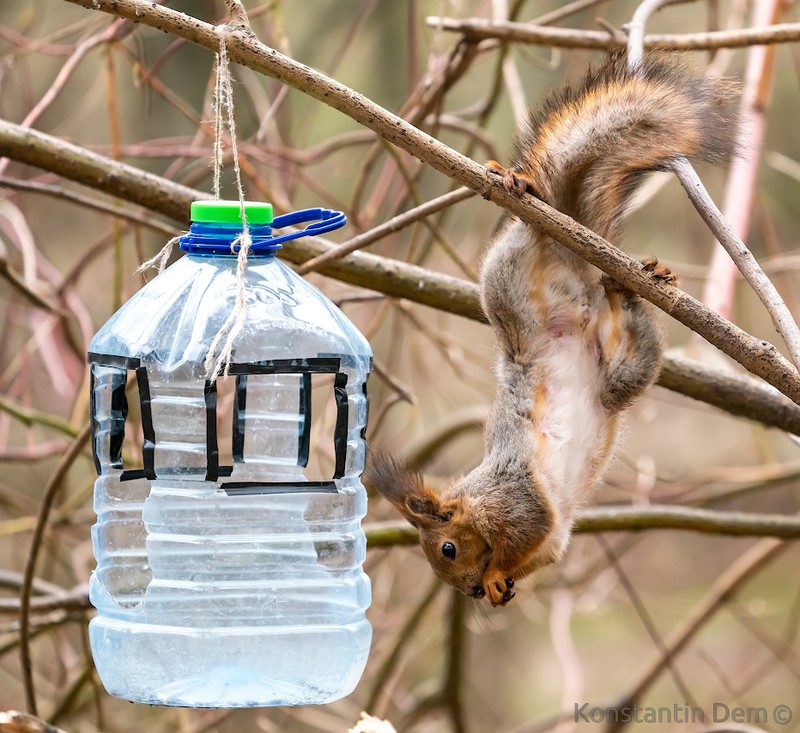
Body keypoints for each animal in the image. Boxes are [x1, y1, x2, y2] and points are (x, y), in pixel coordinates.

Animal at [366, 53, 736, 608]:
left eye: (447, 549)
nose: (469, 593)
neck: (477, 499)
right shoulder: (553, 537)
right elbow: (545, 551)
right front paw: (500, 587)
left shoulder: (518, 502)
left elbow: (527, 535)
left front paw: (495, 574)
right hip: (623, 371)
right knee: (633, 341)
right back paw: (627, 288)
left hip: (505, 278)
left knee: (527, 234)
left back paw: (526, 191)